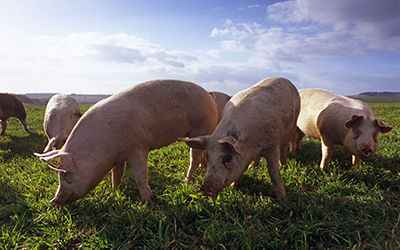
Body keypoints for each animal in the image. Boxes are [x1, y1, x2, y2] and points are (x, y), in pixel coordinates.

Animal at [33, 79, 217, 205]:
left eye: (66, 175)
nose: (53, 202)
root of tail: (208, 94)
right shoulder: (118, 157)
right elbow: (116, 175)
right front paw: (113, 193)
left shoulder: (138, 147)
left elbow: (140, 176)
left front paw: (146, 202)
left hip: (201, 125)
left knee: (194, 157)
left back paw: (186, 181)